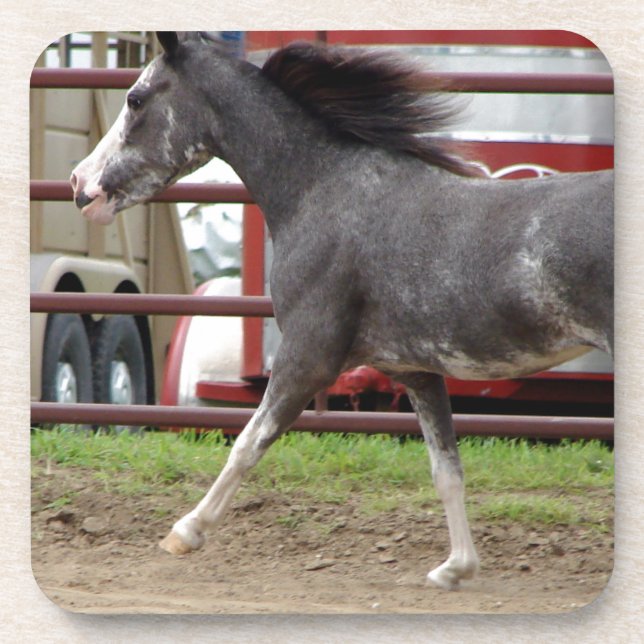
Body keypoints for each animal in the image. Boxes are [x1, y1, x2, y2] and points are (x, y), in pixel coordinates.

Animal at [70, 32, 613, 590]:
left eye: (136, 98)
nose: (79, 185)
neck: (322, 190)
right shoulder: (417, 373)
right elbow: (447, 470)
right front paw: (455, 568)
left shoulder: (308, 357)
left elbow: (248, 441)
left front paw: (185, 532)